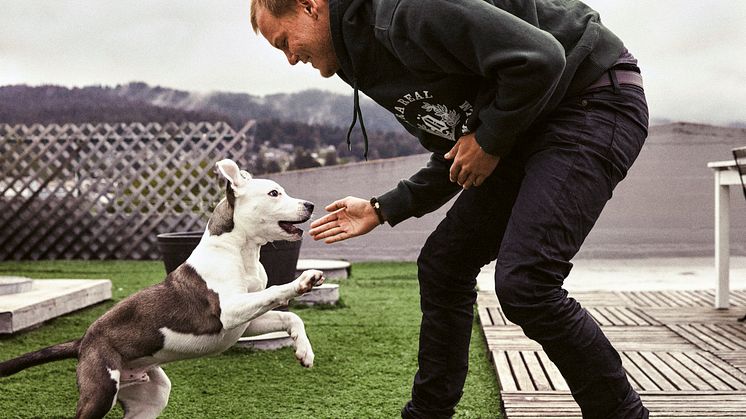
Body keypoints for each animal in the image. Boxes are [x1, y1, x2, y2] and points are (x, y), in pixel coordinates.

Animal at [0, 159, 326, 418]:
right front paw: (303, 281)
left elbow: (289, 316)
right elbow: (276, 291)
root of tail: (83, 342)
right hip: (100, 391)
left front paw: (304, 351)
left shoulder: (246, 321)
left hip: (151, 396)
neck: (241, 250)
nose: (310, 205)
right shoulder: (230, 311)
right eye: (274, 193)